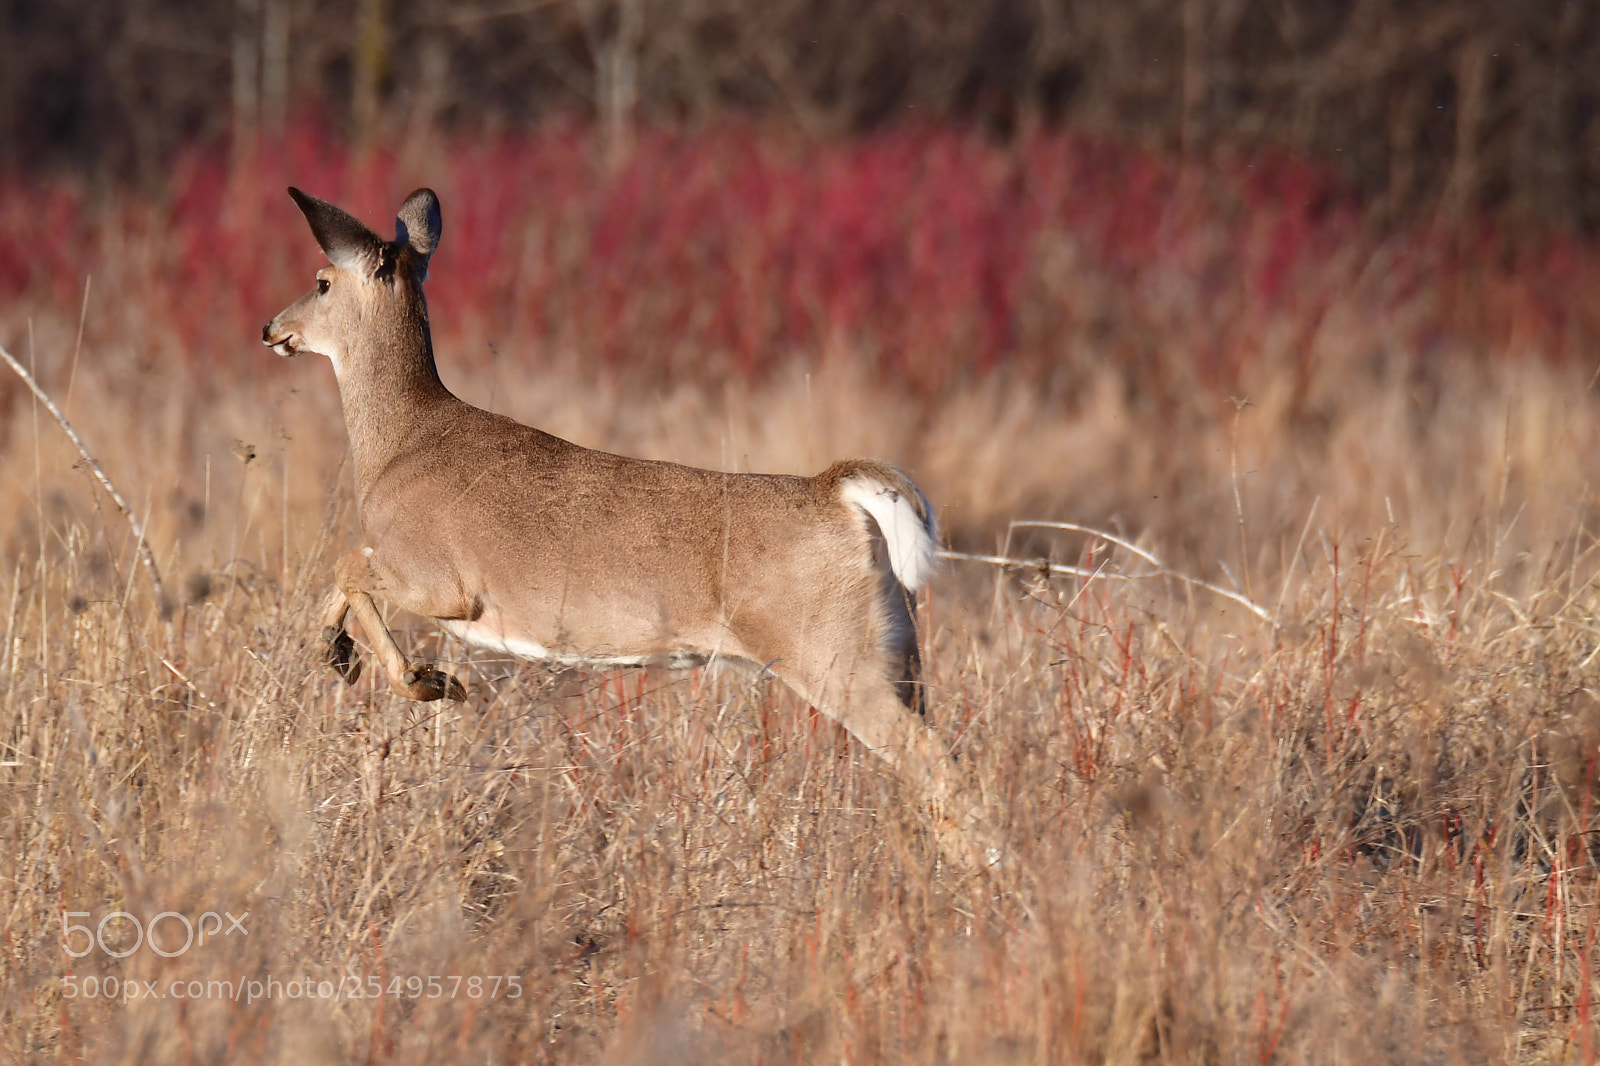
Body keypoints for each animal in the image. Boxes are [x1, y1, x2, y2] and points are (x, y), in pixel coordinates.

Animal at [262, 187, 991, 865]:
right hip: (898, 650)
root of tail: (836, 489)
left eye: (322, 281)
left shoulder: (446, 581)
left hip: (831, 651)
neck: (397, 443)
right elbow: (343, 575)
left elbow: (348, 563)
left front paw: (425, 680)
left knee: (936, 765)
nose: (272, 327)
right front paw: (340, 655)